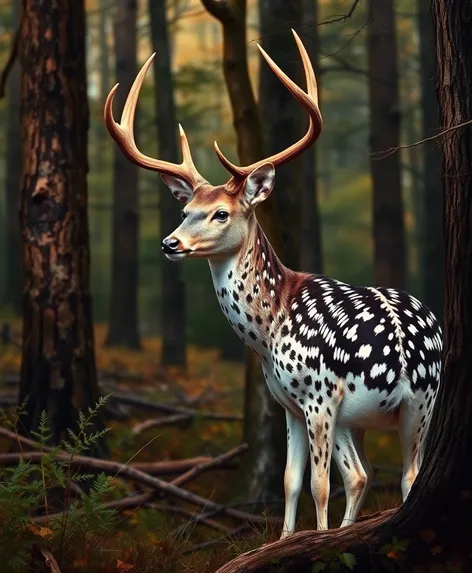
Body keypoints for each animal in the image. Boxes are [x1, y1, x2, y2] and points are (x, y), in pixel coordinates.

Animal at [104, 30, 442, 536]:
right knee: (364, 474)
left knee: (403, 475)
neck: (269, 330)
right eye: (186, 210)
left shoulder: (318, 396)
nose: (169, 243)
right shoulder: (288, 402)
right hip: (373, 413)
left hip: (412, 400)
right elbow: (290, 481)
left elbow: (319, 485)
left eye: (221, 213)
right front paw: (285, 539)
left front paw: (316, 541)